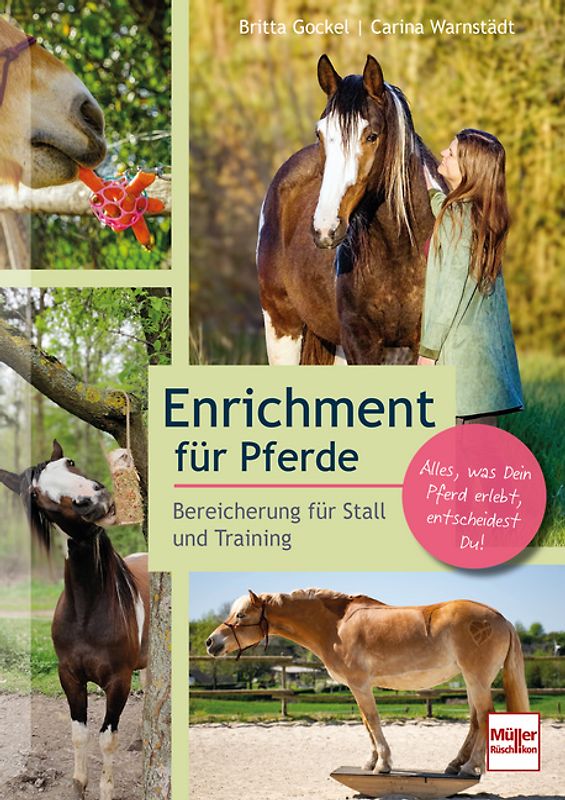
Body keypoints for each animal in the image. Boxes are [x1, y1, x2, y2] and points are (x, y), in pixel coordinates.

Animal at [0, 440, 149, 800]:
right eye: (35, 493)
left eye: (70, 462)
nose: (91, 500)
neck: (87, 612)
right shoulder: (69, 676)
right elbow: (79, 733)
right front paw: (79, 784)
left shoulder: (118, 681)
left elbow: (107, 738)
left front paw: (106, 790)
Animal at [206, 588, 529, 777]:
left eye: (241, 615)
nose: (211, 642)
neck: (337, 626)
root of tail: (502, 619)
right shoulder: (357, 687)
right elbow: (365, 724)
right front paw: (371, 763)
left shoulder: (360, 685)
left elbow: (372, 721)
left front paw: (383, 764)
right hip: (472, 680)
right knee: (475, 721)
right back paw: (455, 764)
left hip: (477, 679)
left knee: (485, 717)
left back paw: (471, 767)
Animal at [257, 54, 446, 365]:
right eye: (320, 133)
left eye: (371, 136)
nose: (325, 229)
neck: (400, 253)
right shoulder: (360, 343)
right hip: (282, 326)